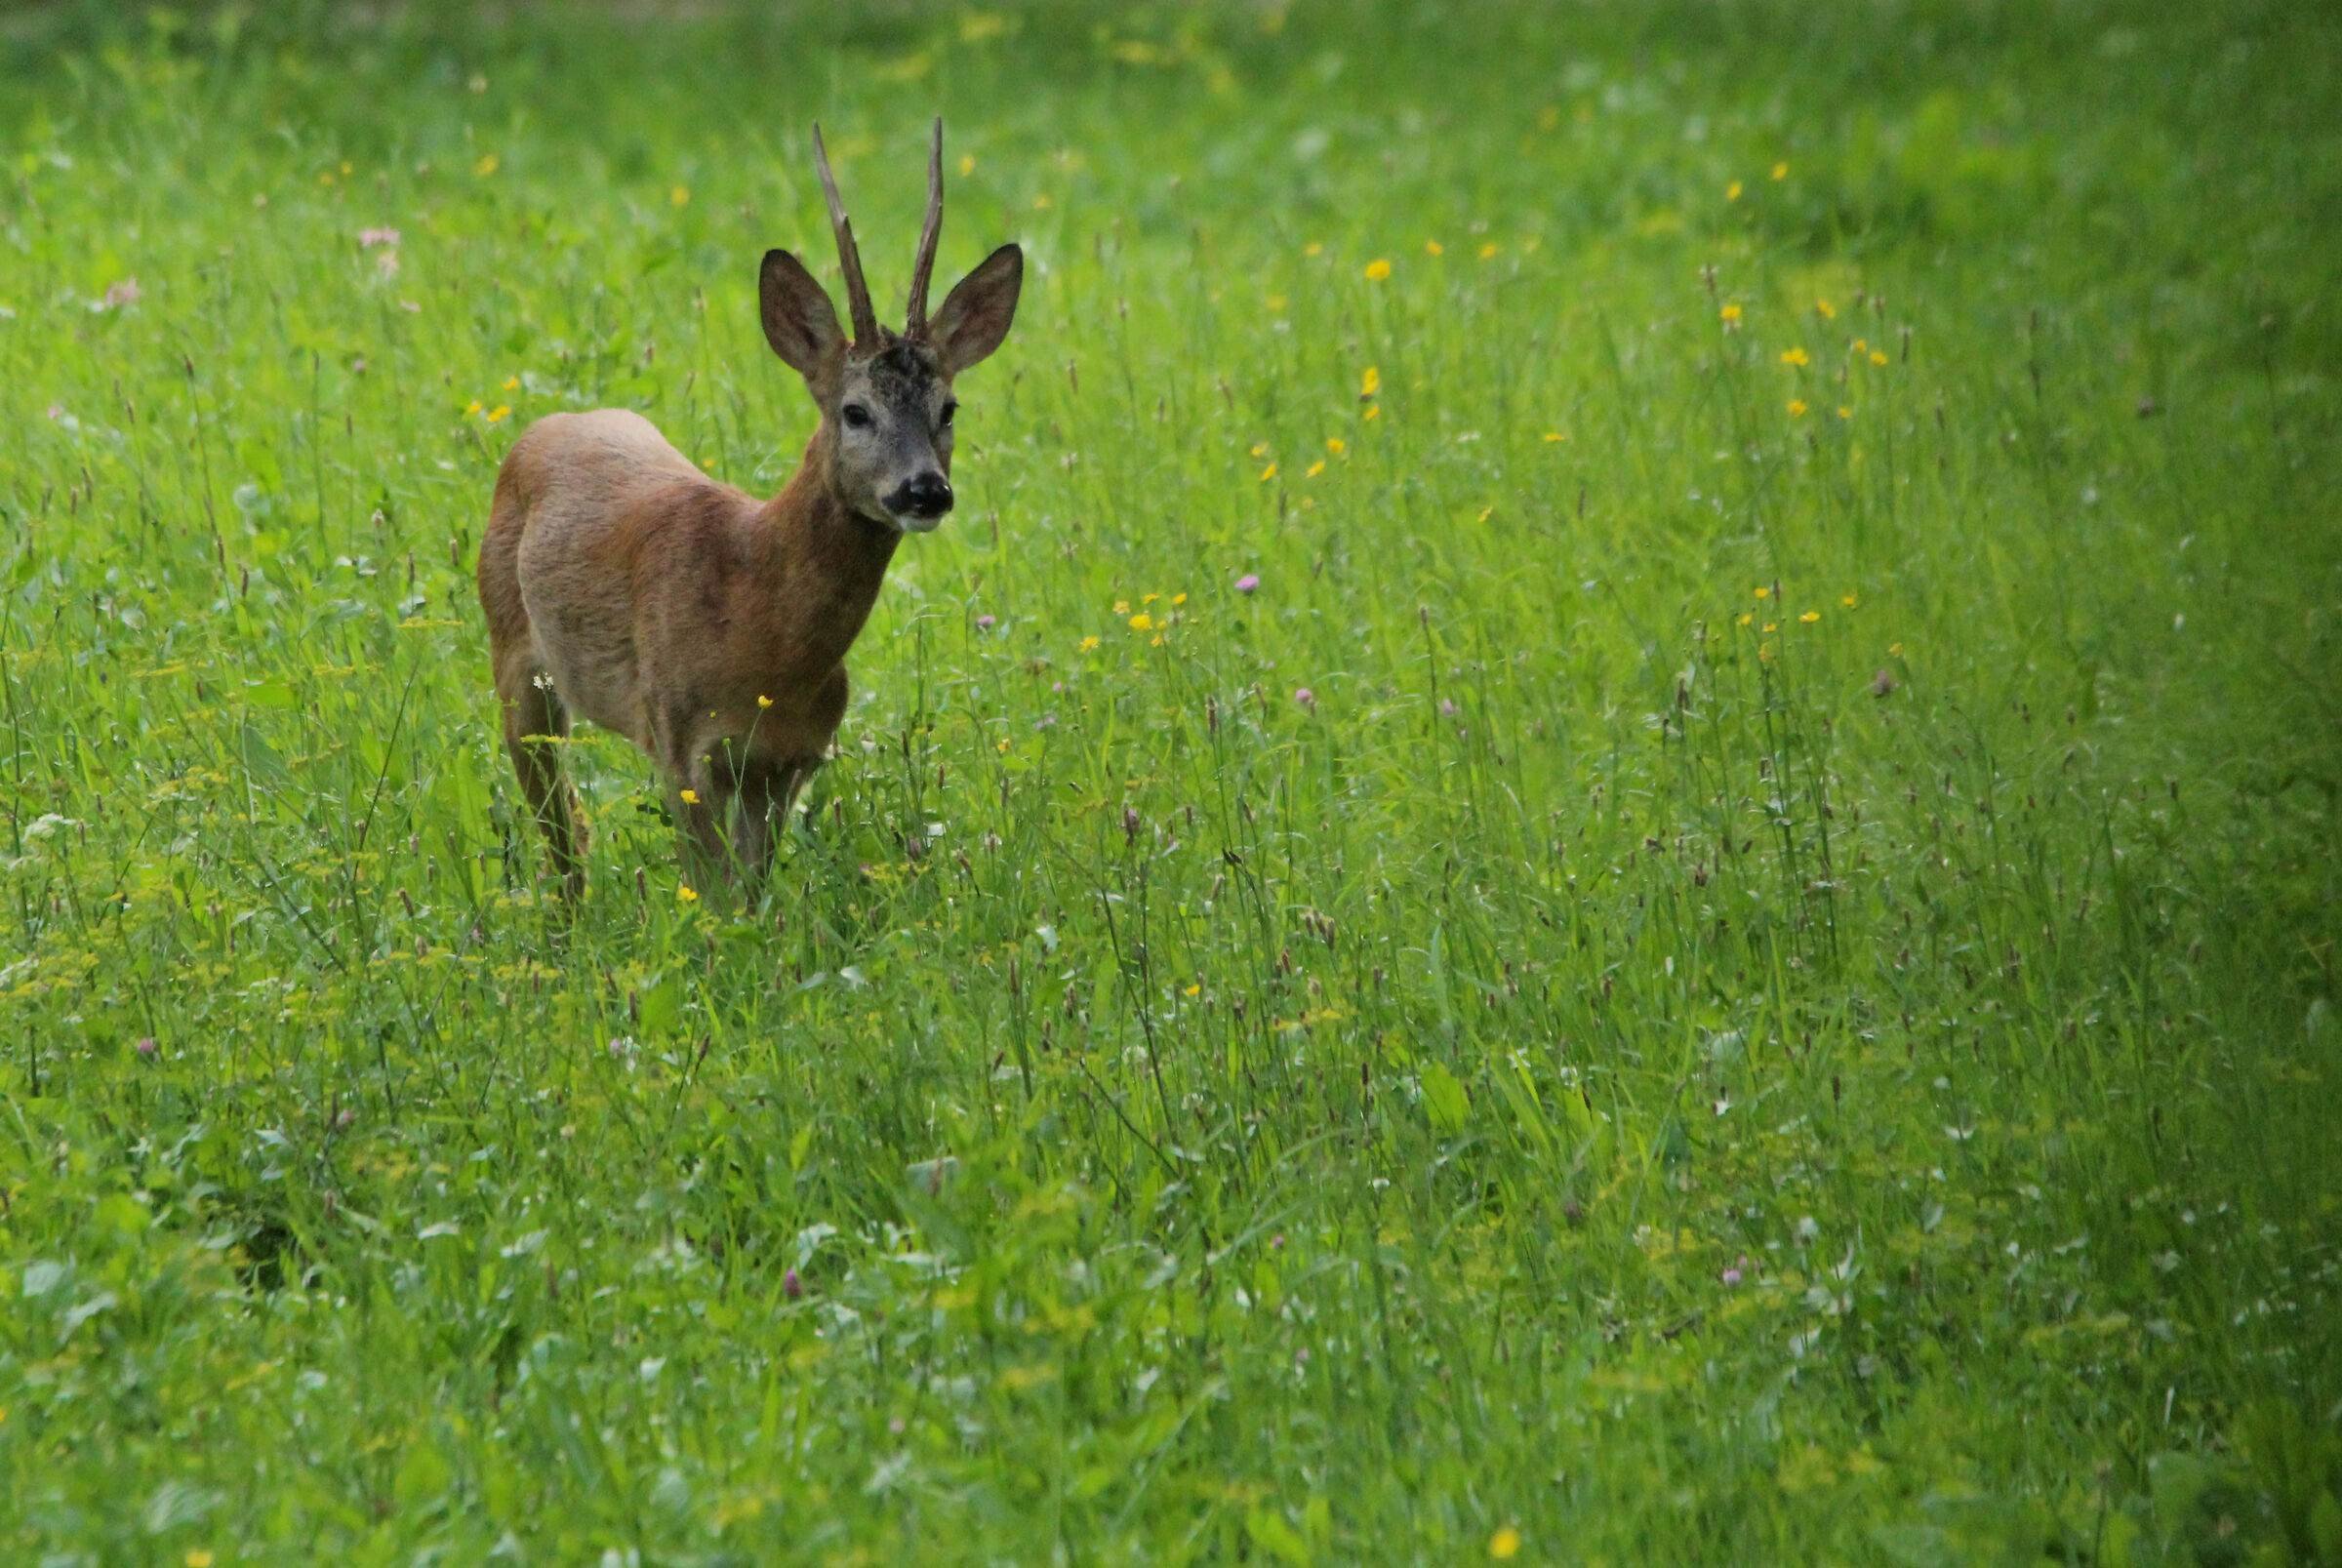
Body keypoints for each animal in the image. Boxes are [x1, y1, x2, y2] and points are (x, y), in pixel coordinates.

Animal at [476, 120, 1021, 899]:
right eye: (855, 411)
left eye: (948, 408)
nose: (925, 490)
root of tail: (544, 427)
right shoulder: (678, 742)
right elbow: (715, 900)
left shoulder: (789, 760)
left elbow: (753, 898)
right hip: (514, 661)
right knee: (562, 829)